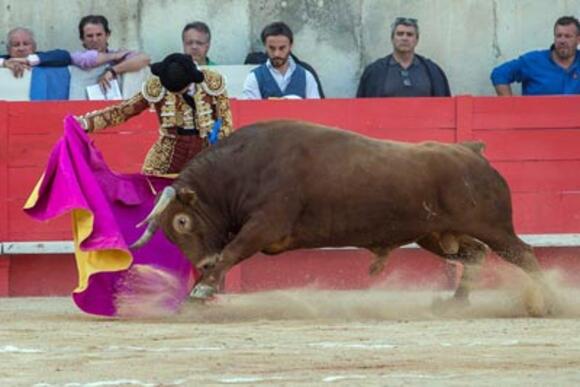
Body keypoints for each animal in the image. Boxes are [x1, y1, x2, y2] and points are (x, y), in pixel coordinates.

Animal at [133, 119, 552, 316]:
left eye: (183, 222)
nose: (201, 263)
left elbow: (232, 252)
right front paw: (194, 295)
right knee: (476, 255)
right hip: (435, 234)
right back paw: (455, 303)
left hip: (493, 227)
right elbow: (226, 255)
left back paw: (545, 305)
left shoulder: (266, 225)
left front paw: (202, 290)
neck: (238, 171)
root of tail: (472, 151)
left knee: (524, 254)